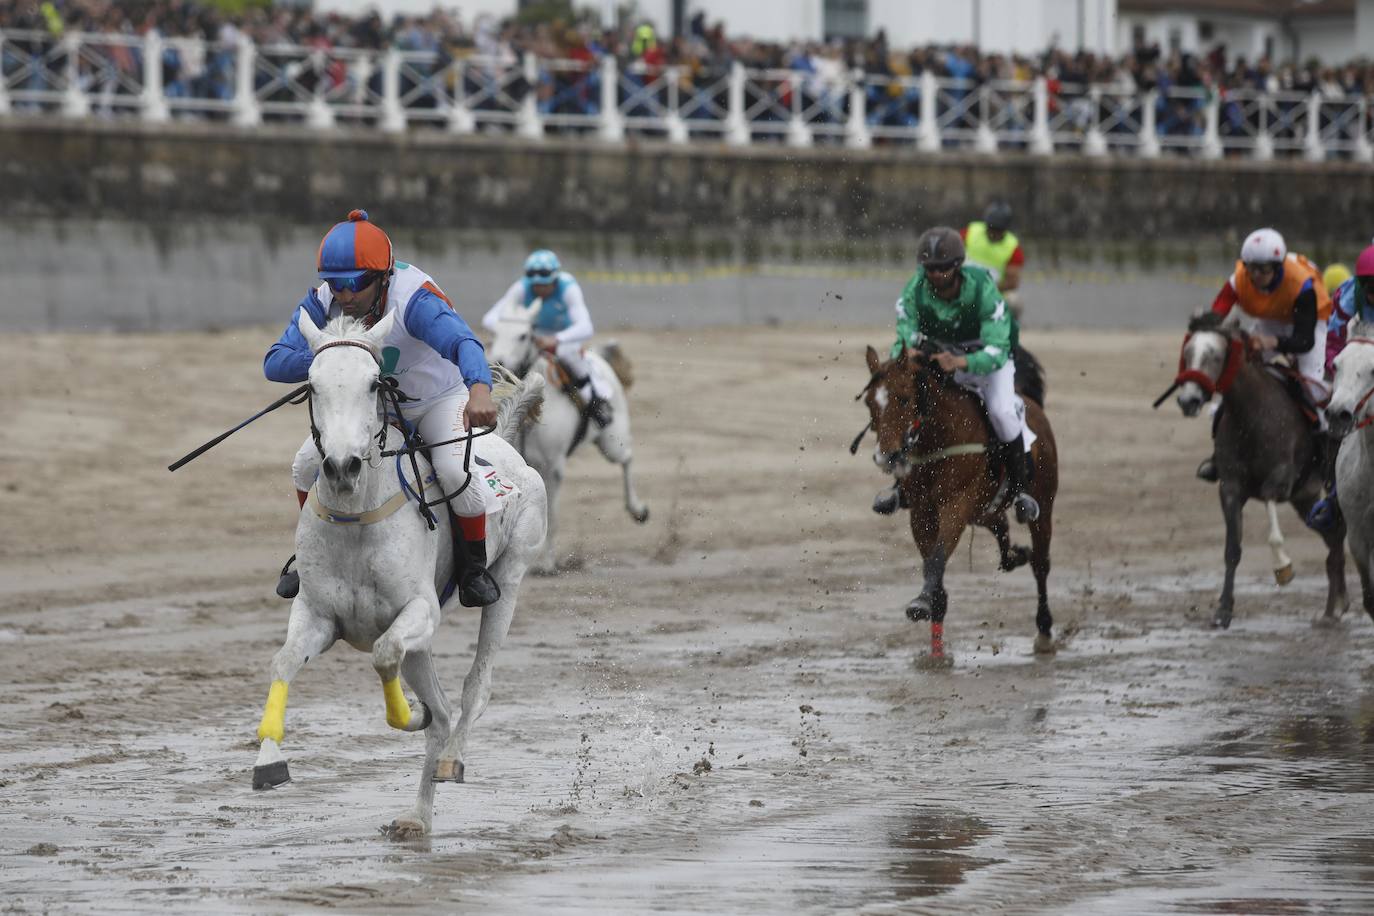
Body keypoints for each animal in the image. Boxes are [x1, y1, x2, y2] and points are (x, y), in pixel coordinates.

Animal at [252, 313, 546, 840]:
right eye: (311, 384)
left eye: (374, 384)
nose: (342, 466)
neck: (356, 517)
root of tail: (506, 445)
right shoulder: (318, 615)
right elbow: (283, 662)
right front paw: (268, 761)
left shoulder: (419, 610)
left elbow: (386, 654)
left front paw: (410, 716)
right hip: (423, 645)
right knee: (443, 710)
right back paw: (416, 817)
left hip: (510, 579)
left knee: (474, 687)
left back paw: (450, 761)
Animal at [489, 295, 648, 574]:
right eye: (496, 331)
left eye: (523, 335)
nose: (500, 362)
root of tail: (597, 357)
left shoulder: (553, 467)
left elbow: (552, 515)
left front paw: (546, 563)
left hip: (611, 442)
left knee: (627, 459)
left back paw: (637, 510)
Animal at [857, 346, 1060, 659]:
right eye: (869, 403)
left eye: (904, 397)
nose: (886, 457)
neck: (941, 438)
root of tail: (1030, 403)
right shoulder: (922, 513)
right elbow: (934, 566)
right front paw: (936, 649)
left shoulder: (956, 507)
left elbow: (937, 559)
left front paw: (920, 604)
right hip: (987, 511)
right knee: (1003, 531)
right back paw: (1016, 555)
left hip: (1043, 506)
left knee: (1040, 563)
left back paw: (1045, 631)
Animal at [1165, 315, 1346, 631]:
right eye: (1187, 354)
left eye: (1215, 356)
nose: (1188, 400)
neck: (1251, 415)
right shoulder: (1230, 488)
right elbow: (1232, 550)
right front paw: (1223, 611)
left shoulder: (1279, 482)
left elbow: (1273, 526)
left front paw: (1283, 568)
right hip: (1305, 498)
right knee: (1334, 535)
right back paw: (1333, 608)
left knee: (1341, 531)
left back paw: (1335, 607)